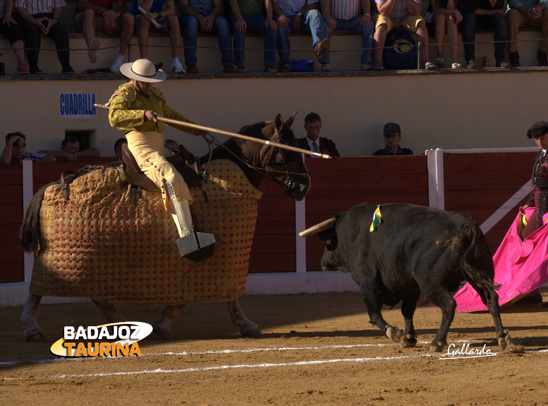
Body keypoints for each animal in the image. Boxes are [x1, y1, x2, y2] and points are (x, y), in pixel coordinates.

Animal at [19, 112, 310, 340]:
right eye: (289, 150)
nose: (304, 186)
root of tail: (56, 185)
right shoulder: (219, 255)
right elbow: (222, 294)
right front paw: (245, 324)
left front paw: (163, 324)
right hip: (65, 256)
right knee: (39, 288)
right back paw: (32, 328)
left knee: (88, 294)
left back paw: (119, 322)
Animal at [300, 202, 512, 352]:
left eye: (328, 241)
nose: (322, 261)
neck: (355, 234)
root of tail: (465, 225)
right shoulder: (411, 287)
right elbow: (407, 311)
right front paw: (409, 338)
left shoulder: (368, 284)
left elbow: (374, 314)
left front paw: (393, 332)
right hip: (478, 273)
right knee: (491, 299)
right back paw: (503, 339)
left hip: (431, 283)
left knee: (449, 305)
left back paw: (437, 342)